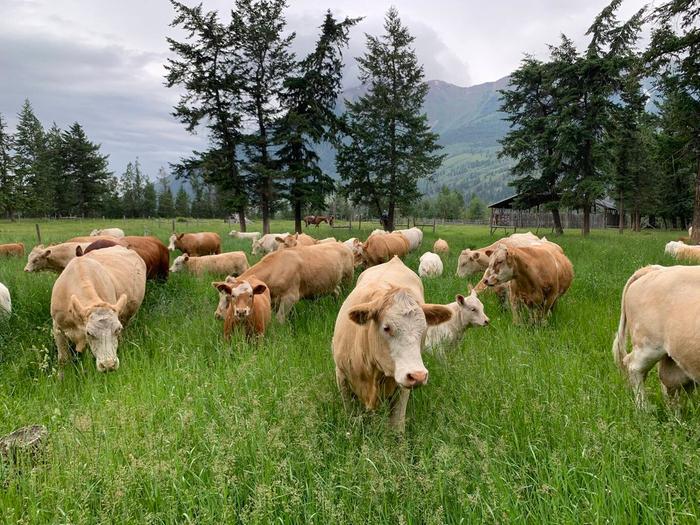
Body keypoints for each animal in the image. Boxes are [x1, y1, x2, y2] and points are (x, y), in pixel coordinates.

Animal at [332, 256, 453, 432]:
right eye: (386, 327)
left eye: (424, 328)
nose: (418, 375)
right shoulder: (341, 375)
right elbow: (351, 414)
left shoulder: (401, 387)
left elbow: (397, 423)